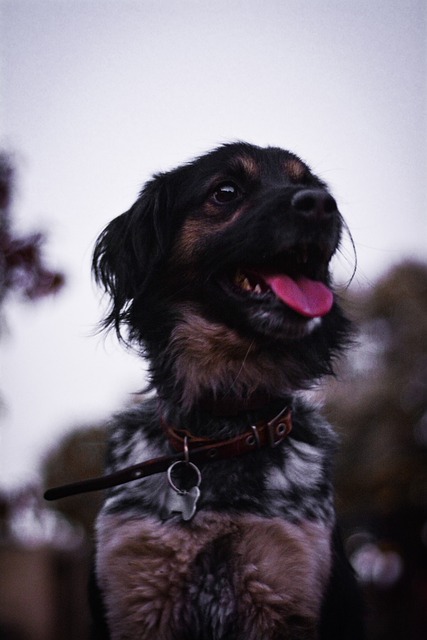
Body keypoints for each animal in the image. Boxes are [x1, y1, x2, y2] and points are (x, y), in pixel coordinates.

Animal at [91, 142, 364, 636]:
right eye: (226, 191)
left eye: (309, 184)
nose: (321, 204)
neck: (224, 430)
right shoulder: (135, 588)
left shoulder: (286, 583)